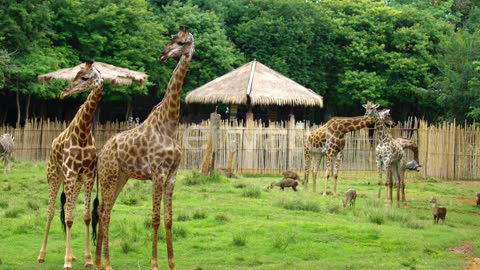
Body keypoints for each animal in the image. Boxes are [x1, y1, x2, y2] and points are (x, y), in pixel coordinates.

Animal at [36, 60, 102, 268]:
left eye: (85, 77)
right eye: (75, 74)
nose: (64, 92)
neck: (83, 132)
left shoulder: (87, 176)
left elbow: (85, 216)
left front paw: (88, 259)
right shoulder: (70, 173)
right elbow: (68, 218)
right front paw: (66, 263)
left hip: (75, 181)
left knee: (67, 209)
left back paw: (72, 255)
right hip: (54, 175)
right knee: (51, 211)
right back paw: (41, 255)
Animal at [94, 25, 195, 270]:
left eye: (181, 42)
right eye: (172, 39)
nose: (163, 54)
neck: (169, 125)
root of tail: (101, 153)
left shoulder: (172, 175)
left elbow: (168, 219)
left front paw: (172, 263)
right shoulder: (158, 173)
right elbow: (155, 218)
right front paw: (155, 263)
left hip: (120, 177)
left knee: (104, 210)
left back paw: (98, 261)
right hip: (110, 175)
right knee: (105, 212)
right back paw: (107, 263)